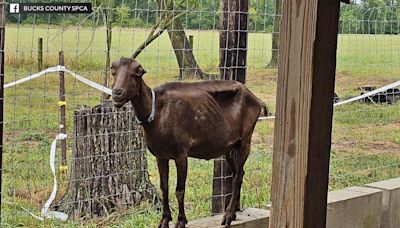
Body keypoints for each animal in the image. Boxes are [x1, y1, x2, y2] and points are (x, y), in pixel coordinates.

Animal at [111, 57, 264, 228]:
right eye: (113, 70)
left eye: (137, 71)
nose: (117, 93)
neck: (157, 113)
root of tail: (256, 99)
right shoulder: (160, 156)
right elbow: (164, 187)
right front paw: (164, 220)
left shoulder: (181, 154)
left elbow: (180, 190)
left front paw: (181, 221)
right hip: (229, 147)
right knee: (239, 172)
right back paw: (236, 209)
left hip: (245, 141)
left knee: (237, 175)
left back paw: (229, 215)